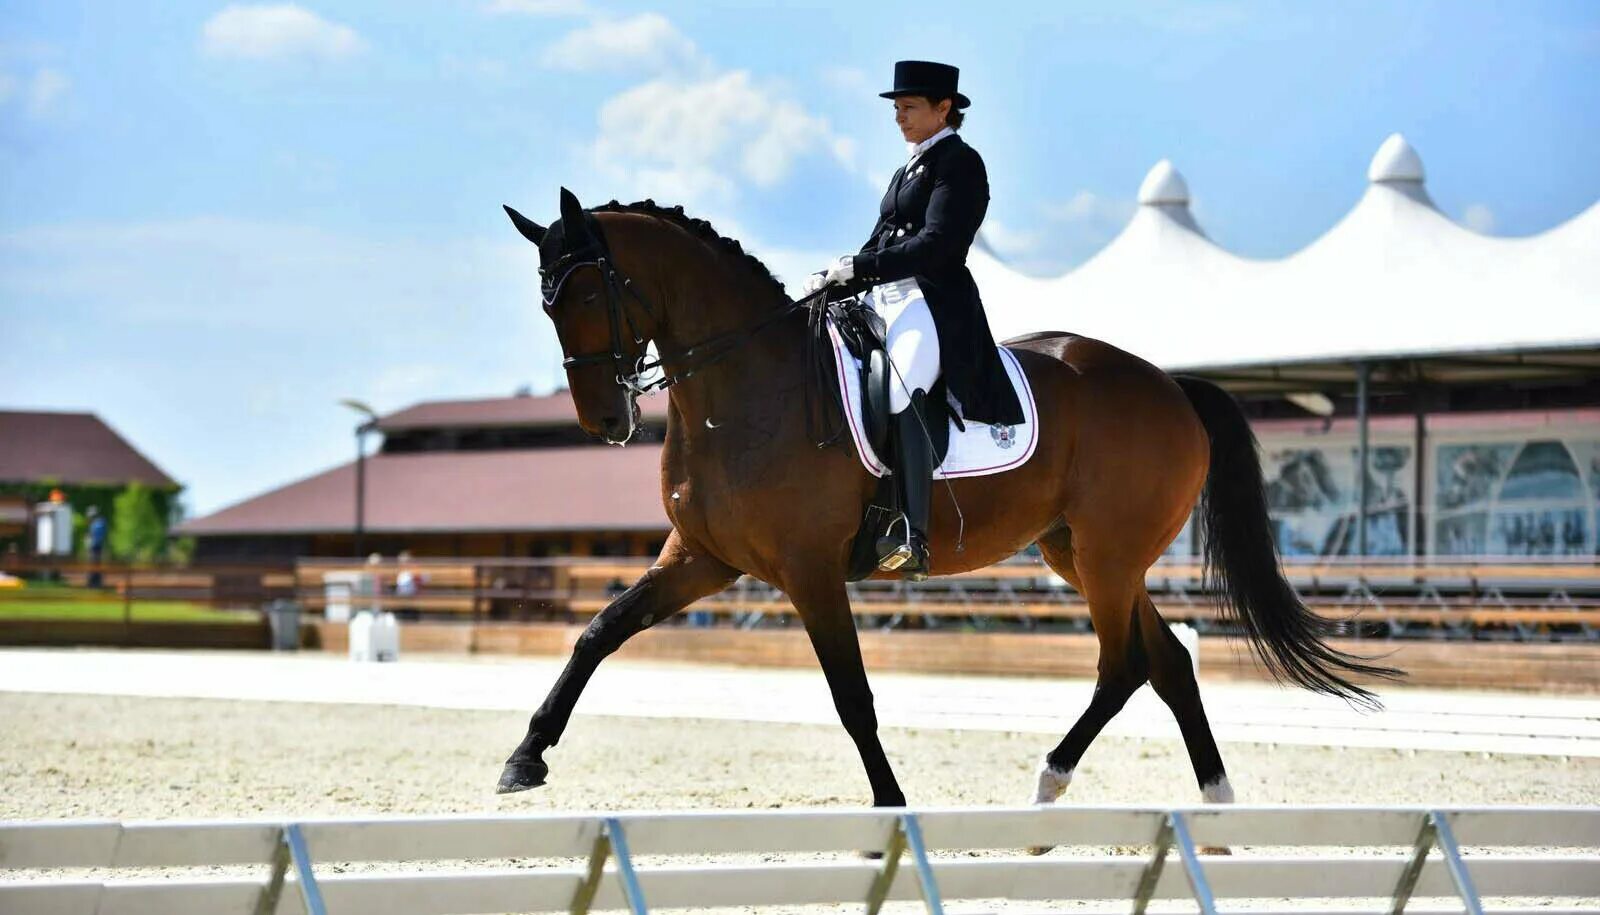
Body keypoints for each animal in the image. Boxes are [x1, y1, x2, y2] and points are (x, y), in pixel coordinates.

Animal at [492, 189, 1395, 812]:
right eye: (545, 303)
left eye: (588, 295)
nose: (604, 420)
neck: (740, 388)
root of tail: (1172, 385)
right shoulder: (702, 558)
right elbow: (598, 631)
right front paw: (524, 757)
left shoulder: (809, 570)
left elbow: (851, 694)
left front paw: (891, 805)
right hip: (1081, 552)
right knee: (1167, 660)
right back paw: (1214, 796)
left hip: (1106, 555)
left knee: (1125, 663)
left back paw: (1050, 776)